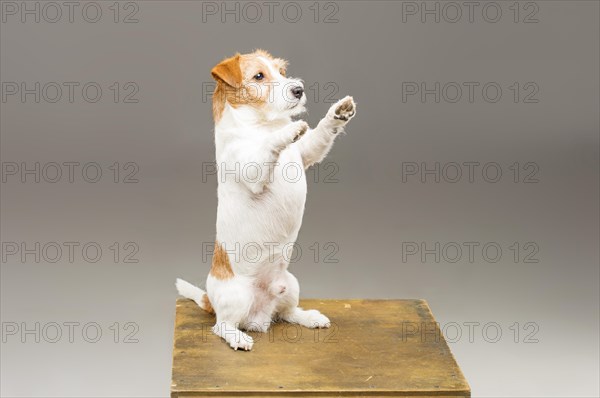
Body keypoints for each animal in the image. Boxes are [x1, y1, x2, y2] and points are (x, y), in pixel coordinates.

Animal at [178, 49, 356, 352]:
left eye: (281, 72)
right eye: (259, 76)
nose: (298, 89)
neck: (261, 125)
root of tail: (258, 317)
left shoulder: (305, 153)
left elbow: (318, 136)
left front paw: (337, 113)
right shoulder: (252, 170)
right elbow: (267, 148)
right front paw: (286, 132)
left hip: (291, 285)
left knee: (286, 312)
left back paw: (308, 317)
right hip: (235, 298)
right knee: (221, 326)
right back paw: (238, 336)